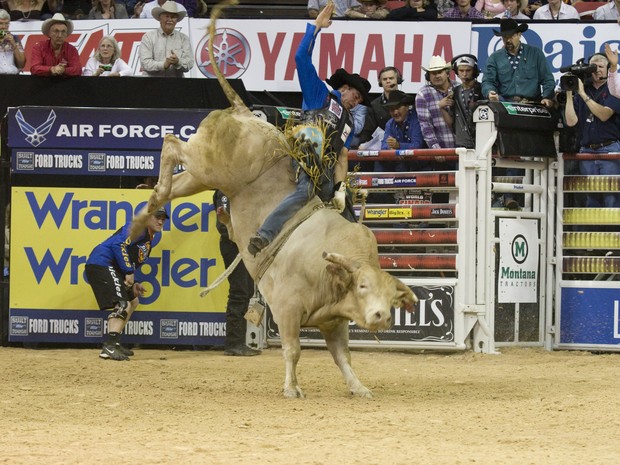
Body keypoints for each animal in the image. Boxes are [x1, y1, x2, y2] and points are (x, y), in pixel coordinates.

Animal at [133, 0, 418, 398]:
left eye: (393, 297)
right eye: (362, 286)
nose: (381, 317)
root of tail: (244, 112)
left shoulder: (334, 321)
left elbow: (343, 357)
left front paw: (359, 387)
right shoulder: (287, 308)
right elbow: (293, 350)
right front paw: (291, 388)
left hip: (199, 175)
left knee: (171, 180)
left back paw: (145, 213)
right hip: (208, 163)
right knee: (172, 142)